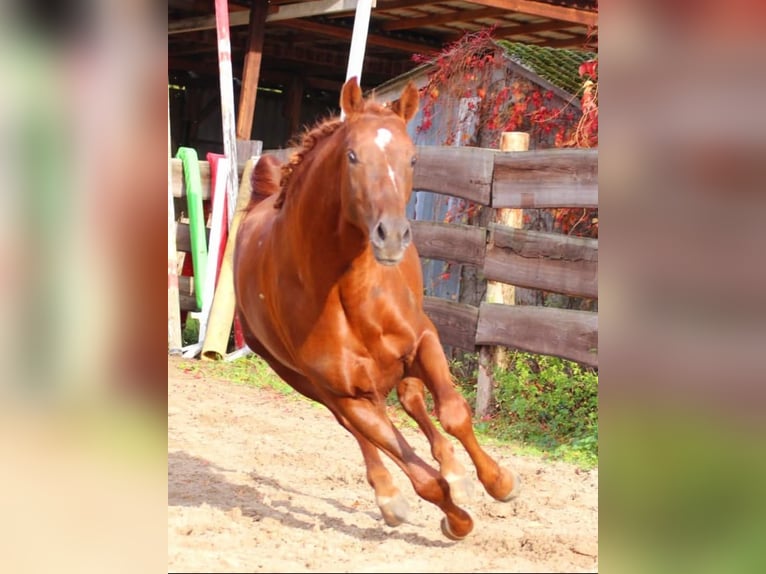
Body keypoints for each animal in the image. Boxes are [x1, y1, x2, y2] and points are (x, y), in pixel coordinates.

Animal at [234, 76, 520, 540]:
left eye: (412, 157)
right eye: (352, 155)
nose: (392, 236)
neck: (345, 290)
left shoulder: (424, 341)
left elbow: (454, 413)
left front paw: (500, 482)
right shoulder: (344, 393)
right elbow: (420, 477)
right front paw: (455, 521)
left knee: (413, 400)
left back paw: (458, 471)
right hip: (311, 385)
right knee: (362, 431)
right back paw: (390, 497)